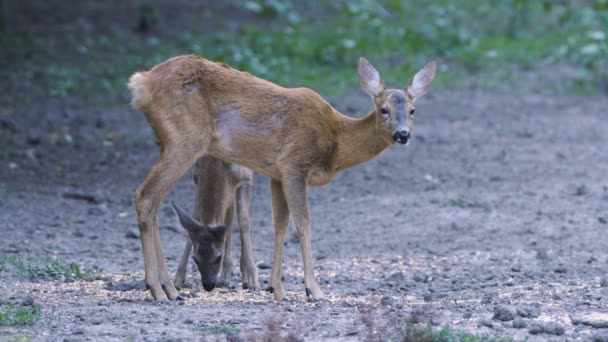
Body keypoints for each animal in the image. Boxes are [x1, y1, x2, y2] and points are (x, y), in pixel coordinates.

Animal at [171, 155, 258, 292]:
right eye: (195, 258)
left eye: (218, 258)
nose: (208, 285)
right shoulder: (196, 175)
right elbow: (197, 217)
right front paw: (178, 279)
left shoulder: (247, 176)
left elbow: (243, 220)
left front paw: (252, 279)